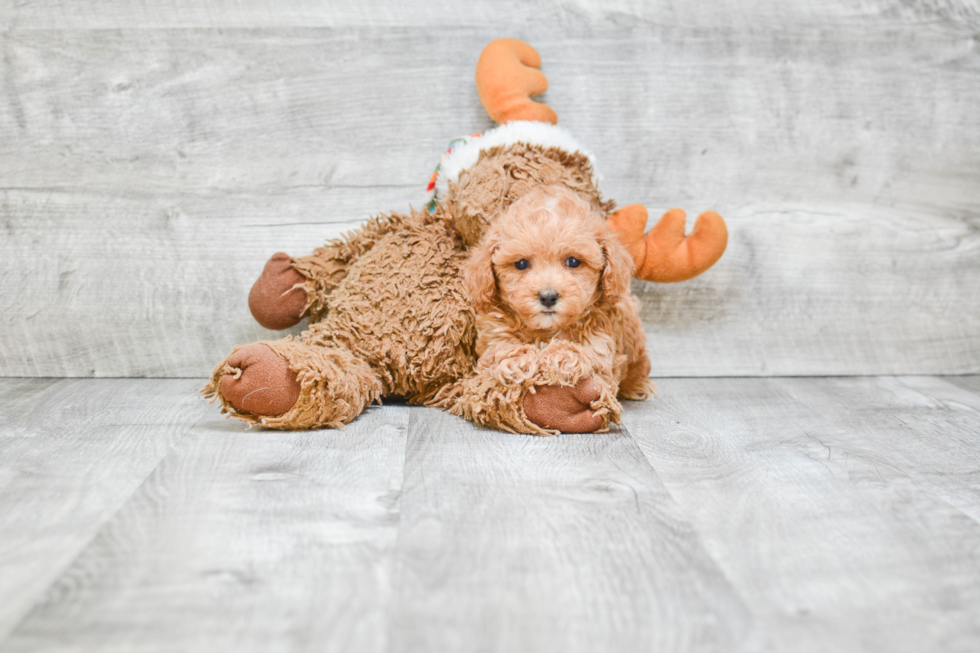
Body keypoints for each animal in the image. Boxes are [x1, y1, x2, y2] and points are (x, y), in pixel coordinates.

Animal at [452, 186, 660, 436]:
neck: (546, 330)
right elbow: (502, 349)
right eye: (521, 264)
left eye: (573, 262)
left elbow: (584, 352)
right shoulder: (493, 335)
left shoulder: (601, 342)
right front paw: (518, 361)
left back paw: (640, 385)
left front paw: (563, 357)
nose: (548, 296)